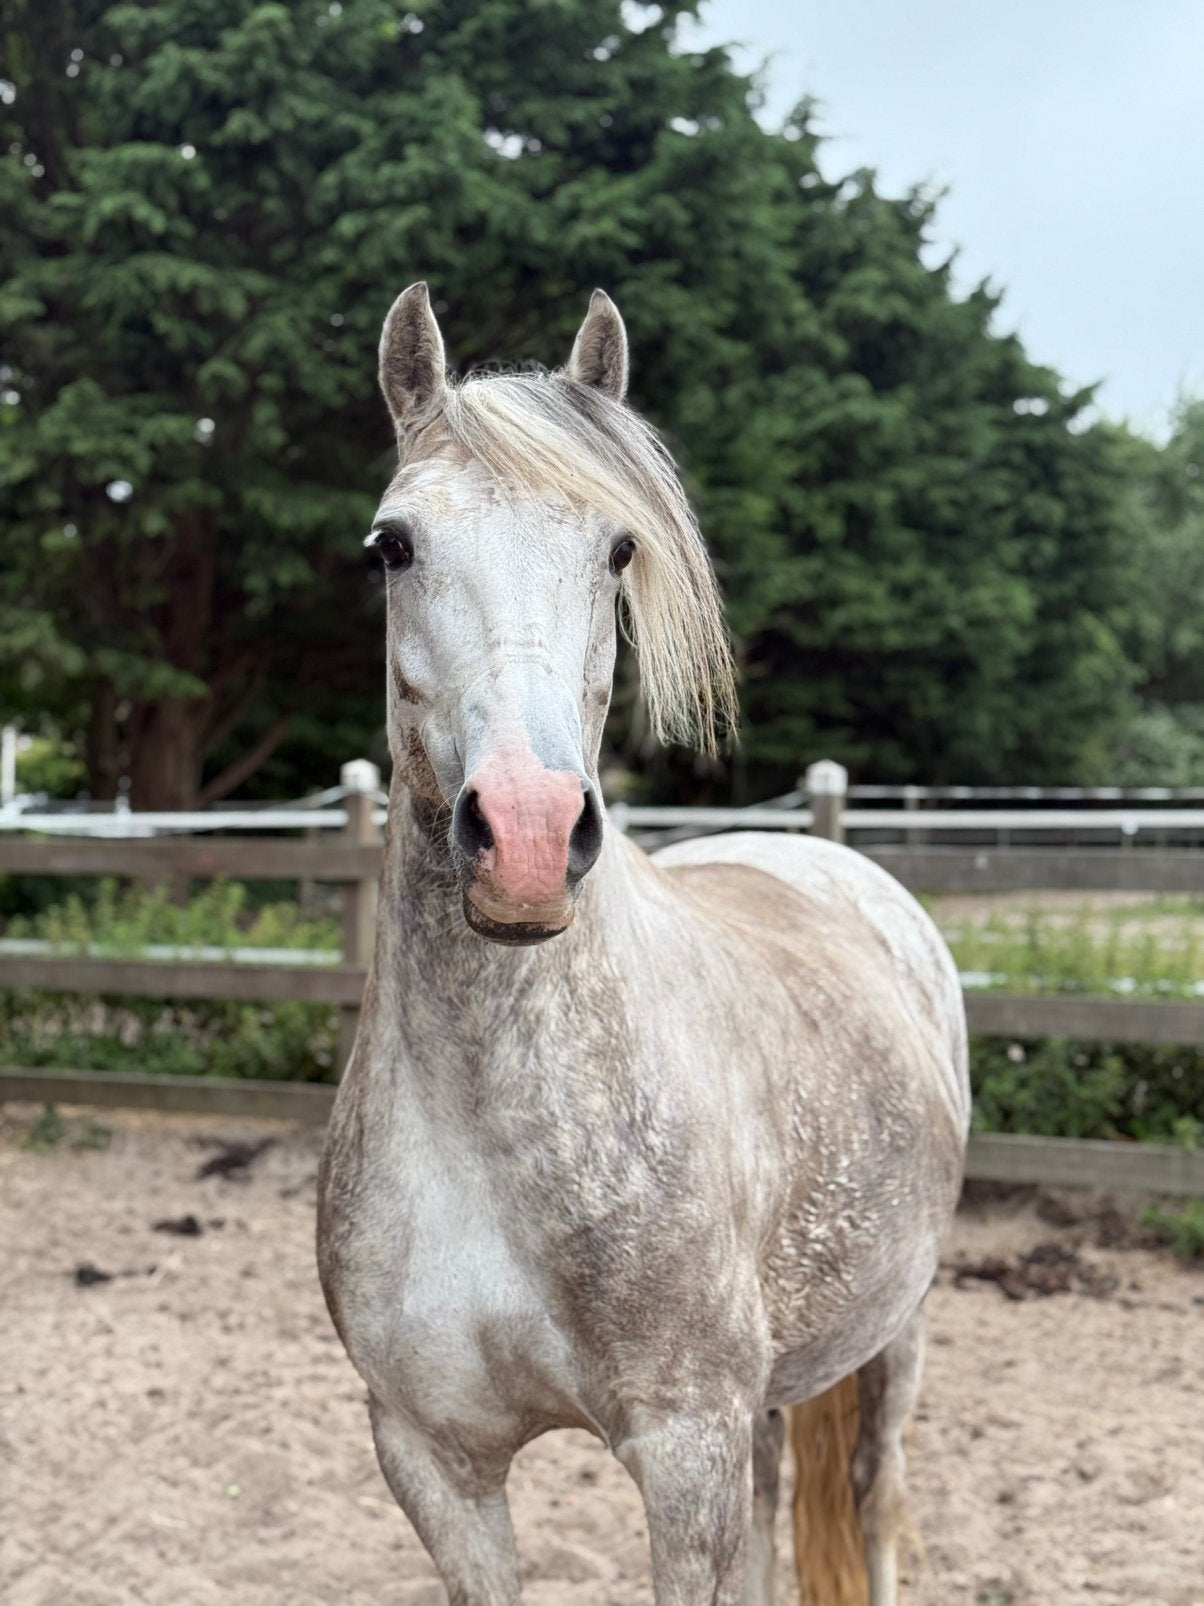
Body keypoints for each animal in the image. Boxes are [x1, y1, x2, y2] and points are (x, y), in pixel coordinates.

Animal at [317, 283, 969, 1605]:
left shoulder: (682, 1450)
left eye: (619, 548)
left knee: (873, 1500)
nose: (524, 833)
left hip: (898, 1330)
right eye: (391, 546)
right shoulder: (431, 1458)